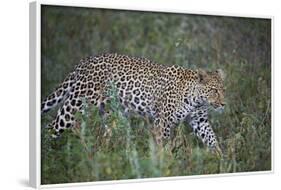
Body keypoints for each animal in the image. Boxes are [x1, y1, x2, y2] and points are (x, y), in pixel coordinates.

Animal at [41, 53, 225, 156]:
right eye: (214, 90)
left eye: (223, 89)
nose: (223, 104)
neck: (196, 100)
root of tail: (83, 62)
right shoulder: (162, 122)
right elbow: (162, 145)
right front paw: (164, 163)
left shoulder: (199, 121)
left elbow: (211, 139)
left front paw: (221, 159)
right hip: (75, 106)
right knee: (52, 127)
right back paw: (49, 158)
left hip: (111, 115)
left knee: (105, 136)